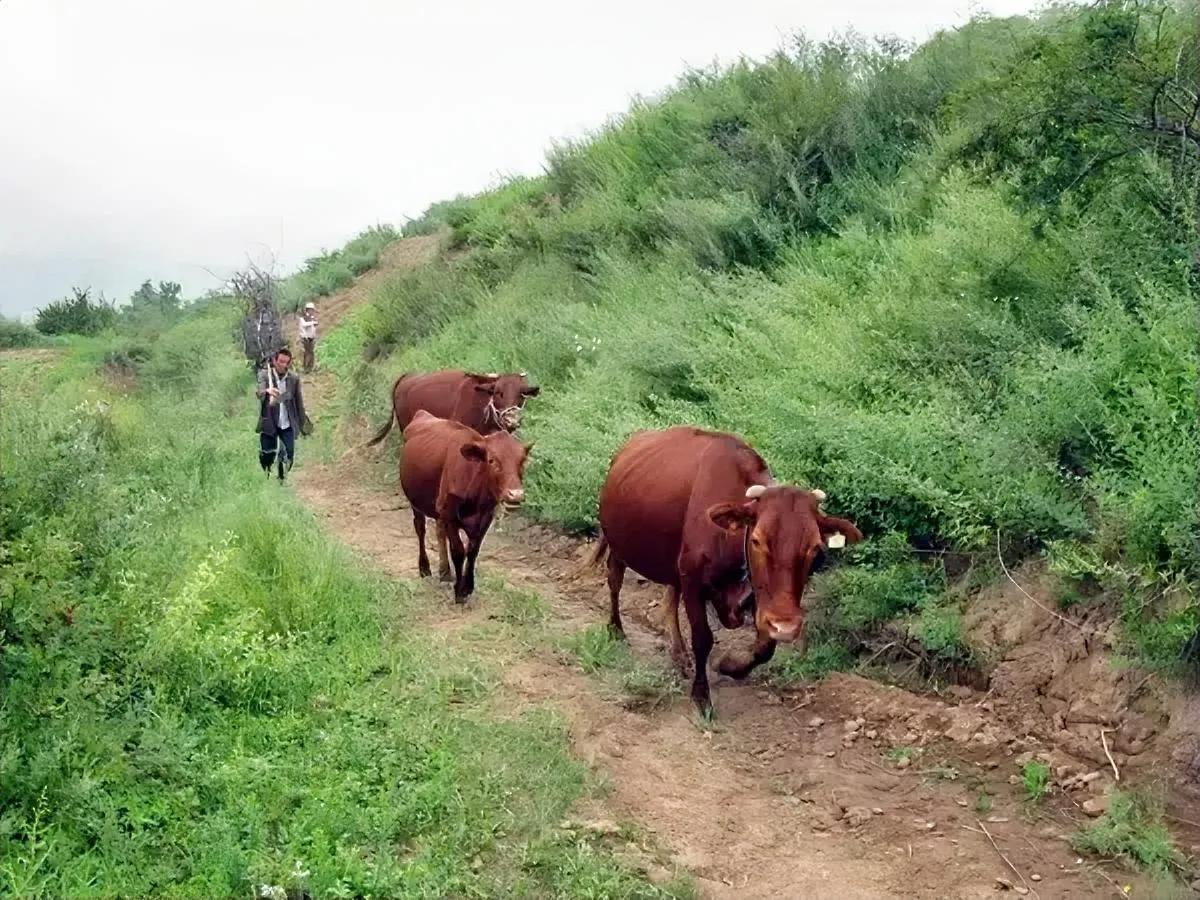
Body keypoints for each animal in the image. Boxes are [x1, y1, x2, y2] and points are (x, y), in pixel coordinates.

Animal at [398, 412, 530, 602]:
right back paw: (424, 568)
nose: (515, 494)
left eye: (522, 461)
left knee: (439, 532)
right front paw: (459, 591)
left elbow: (473, 551)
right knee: (420, 528)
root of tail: (423, 415)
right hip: (416, 503)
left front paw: (468, 587)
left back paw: (444, 572)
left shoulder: (485, 518)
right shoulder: (450, 515)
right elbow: (459, 551)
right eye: (492, 460)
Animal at [592, 427, 864, 715]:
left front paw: (732, 666)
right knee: (615, 581)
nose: (787, 626)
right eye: (756, 540)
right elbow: (703, 638)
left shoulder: (758, 595)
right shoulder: (693, 581)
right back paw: (616, 630)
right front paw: (701, 696)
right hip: (618, 544)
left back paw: (679, 654)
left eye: (815, 548)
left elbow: (766, 646)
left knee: (668, 598)